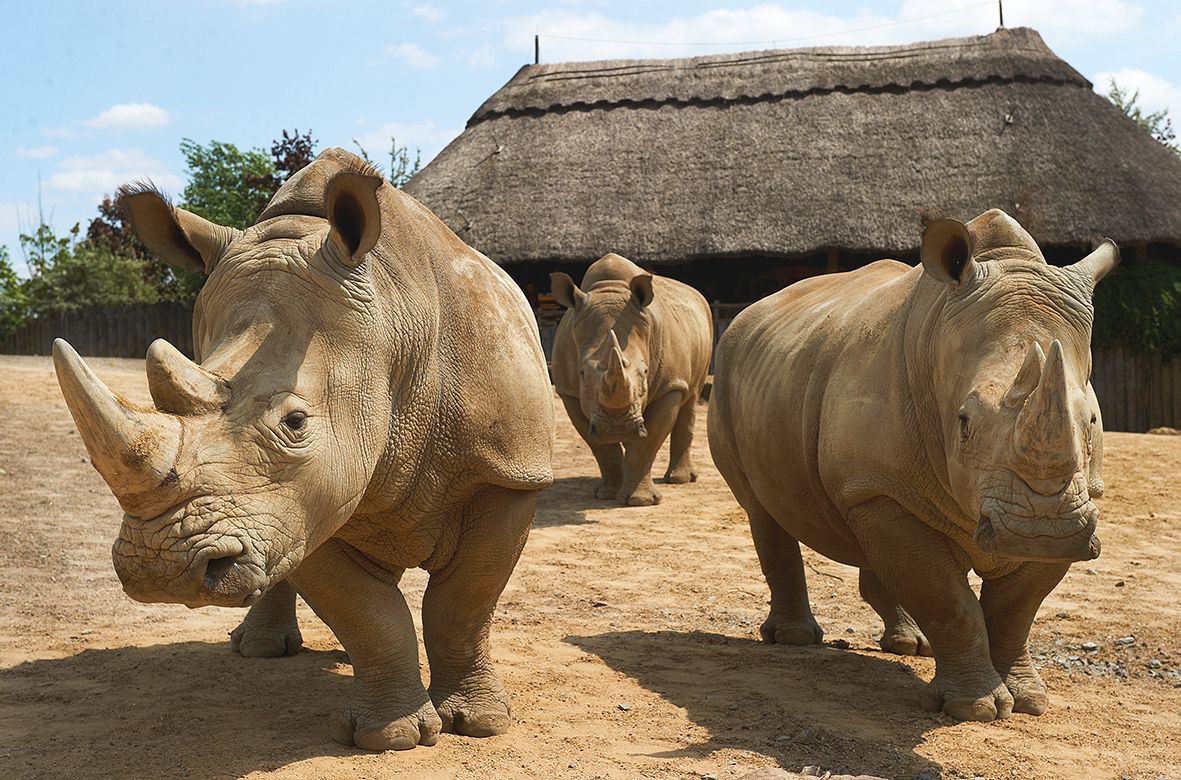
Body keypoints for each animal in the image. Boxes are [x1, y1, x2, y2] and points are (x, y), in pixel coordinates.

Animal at [52, 148, 554, 750]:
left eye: (295, 423)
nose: (160, 570)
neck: (393, 317)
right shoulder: (304, 504)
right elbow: (366, 612)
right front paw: (391, 737)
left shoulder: (507, 471)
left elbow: (464, 603)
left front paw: (477, 725)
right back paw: (260, 650)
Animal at [550, 254, 712, 506]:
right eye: (582, 374)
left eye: (645, 372)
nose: (617, 426)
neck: (610, 289)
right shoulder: (569, 392)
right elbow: (602, 449)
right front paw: (607, 494)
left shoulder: (670, 386)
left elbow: (647, 443)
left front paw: (641, 501)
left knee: (691, 397)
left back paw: (680, 480)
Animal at [708, 210, 1118, 721]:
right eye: (963, 422)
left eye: (1094, 421)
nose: (1038, 529)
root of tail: (750, 313)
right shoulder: (879, 489)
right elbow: (948, 600)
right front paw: (975, 709)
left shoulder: (1077, 505)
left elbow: (1015, 610)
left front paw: (1029, 702)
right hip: (727, 375)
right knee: (761, 511)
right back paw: (796, 639)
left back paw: (912, 646)